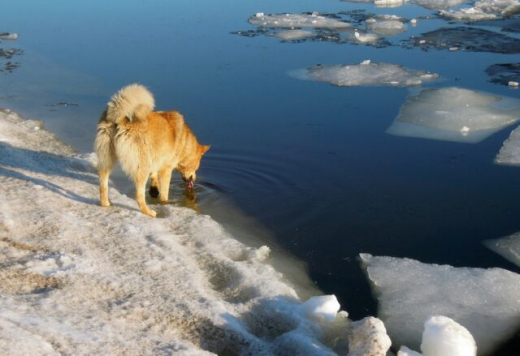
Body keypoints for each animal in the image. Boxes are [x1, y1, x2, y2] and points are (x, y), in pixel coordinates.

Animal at [94, 84, 208, 217]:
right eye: (197, 165)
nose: (193, 180)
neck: (184, 141)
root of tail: (120, 117)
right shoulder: (166, 169)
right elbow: (164, 192)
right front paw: (165, 202)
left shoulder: (156, 159)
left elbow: (154, 176)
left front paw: (154, 190)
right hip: (141, 166)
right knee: (139, 196)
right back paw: (149, 212)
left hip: (106, 159)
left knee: (103, 186)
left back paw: (105, 204)